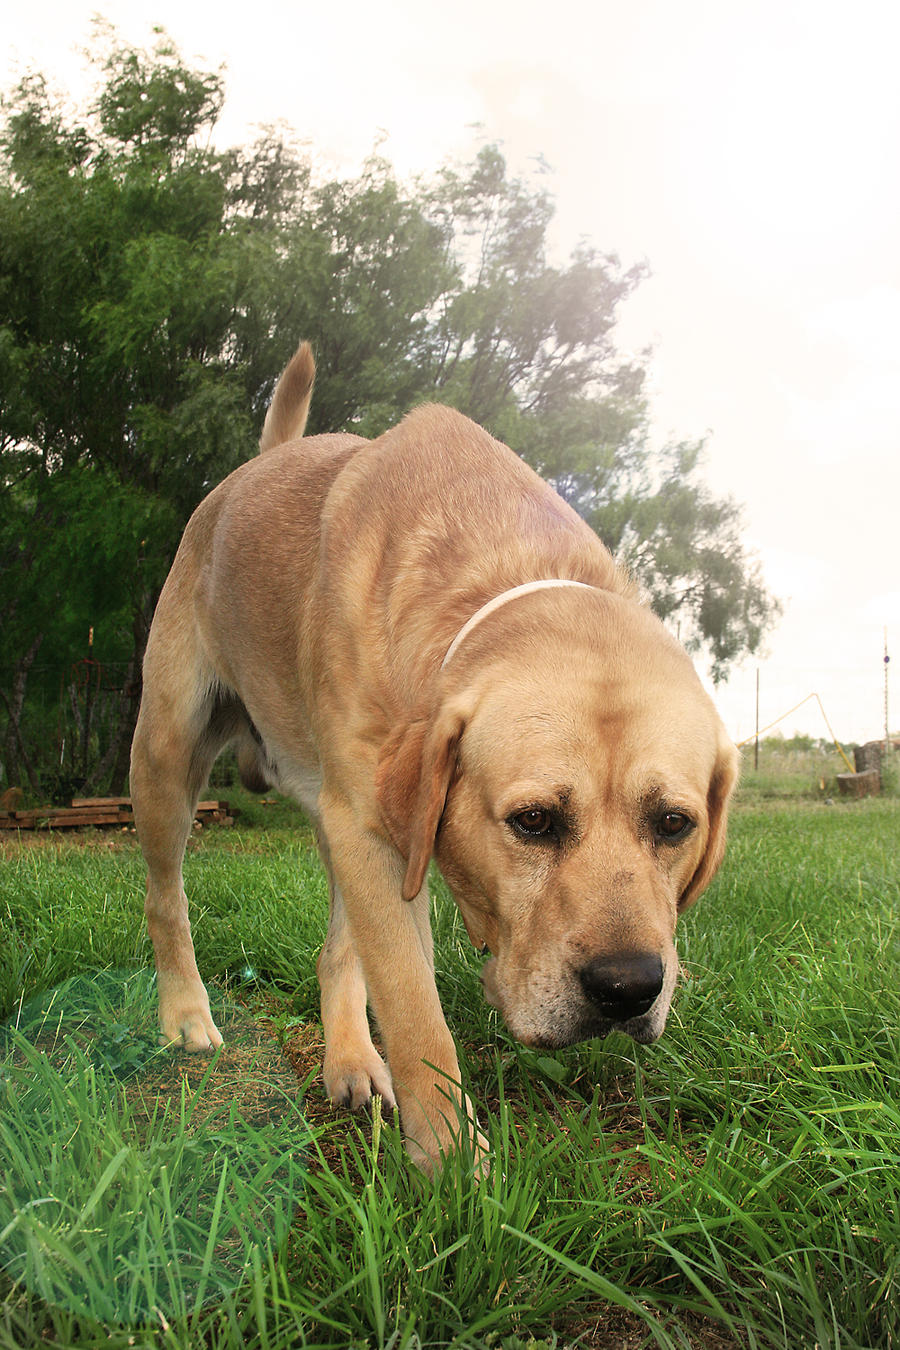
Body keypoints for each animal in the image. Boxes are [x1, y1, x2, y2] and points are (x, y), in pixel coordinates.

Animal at [133, 340, 739, 1171]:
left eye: (675, 823)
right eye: (533, 821)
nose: (628, 988)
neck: (493, 566)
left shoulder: (372, 828)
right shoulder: (372, 835)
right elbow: (417, 1013)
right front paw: (456, 1167)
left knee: (334, 951)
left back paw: (351, 1060)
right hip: (166, 755)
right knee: (167, 900)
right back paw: (186, 1015)